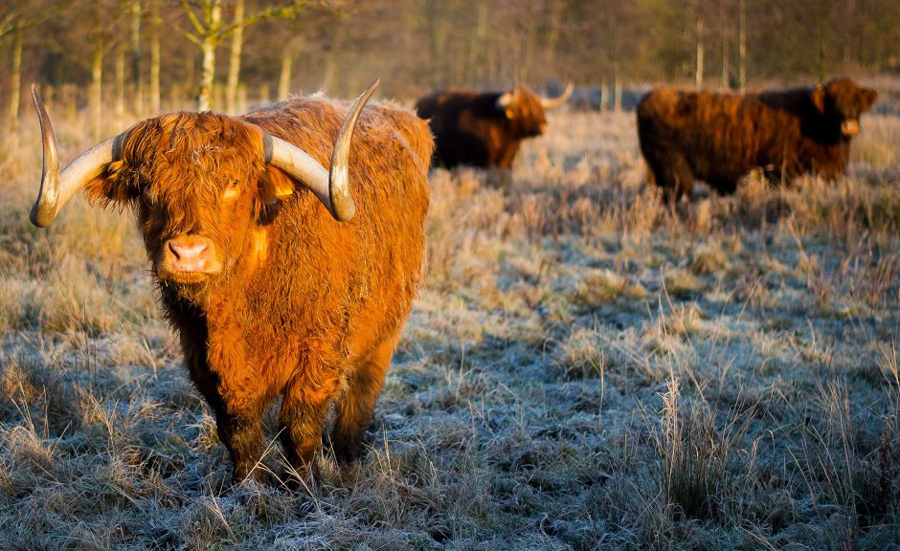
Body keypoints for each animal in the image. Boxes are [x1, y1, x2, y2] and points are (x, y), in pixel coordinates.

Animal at [26, 81, 434, 484]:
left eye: (233, 184)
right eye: (148, 187)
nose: (188, 253)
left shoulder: (321, 350)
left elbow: (300, 427)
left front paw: (304, 484)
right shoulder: (200, 355)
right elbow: (236, 429)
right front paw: (248, 484)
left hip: (385, 333)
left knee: (361, 396)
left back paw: (347, 455)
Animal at [636, 76, 876, 199]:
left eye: (857, 100)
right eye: (832, 100)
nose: (849, 124)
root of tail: (649, 97)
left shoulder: (830, 170)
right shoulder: (779, 170)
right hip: (674, 168)